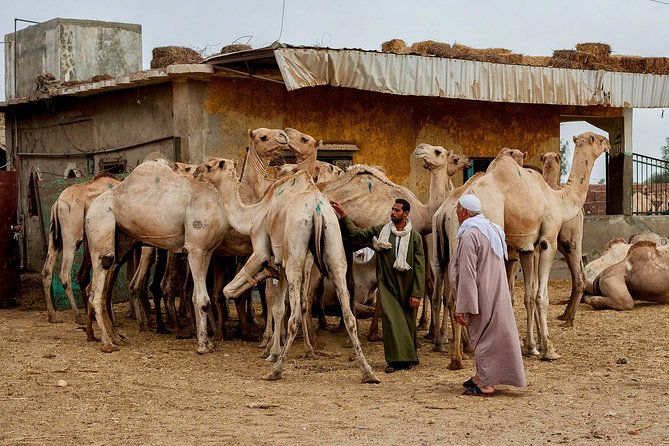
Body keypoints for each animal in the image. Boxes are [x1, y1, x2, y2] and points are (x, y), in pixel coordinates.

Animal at [41, 173, 121, 324]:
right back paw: (78, 317)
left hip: (56, 241)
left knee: (46, 272)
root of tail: (57, 204)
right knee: (65, 274)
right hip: (72, 240)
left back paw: (52, 316)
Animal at [83, 128, 288, 352]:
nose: (284, 136)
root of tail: (90, 207)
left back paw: (114, 335)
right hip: (103, 223)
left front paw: (209, 339)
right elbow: (205, 297)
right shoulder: (197, 248)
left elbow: (203, 295)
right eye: (263, 136)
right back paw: (108, 341)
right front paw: (206, 344)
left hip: (123, 239)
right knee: (101, 284)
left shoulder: (209, 251)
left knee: (104, 286)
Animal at [196, 160, 378, 384]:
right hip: (334, 246)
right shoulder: (282, 262)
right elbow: (278, 308)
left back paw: (276, 371)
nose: (196, 171)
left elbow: (232, 290)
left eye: (209, 166)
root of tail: (317, 211)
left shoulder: (262, 248)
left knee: (296, 316)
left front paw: (271, 353)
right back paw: (368, 372)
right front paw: (272, 352)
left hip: (296, 250)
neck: (254, 214)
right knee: (348, 314)